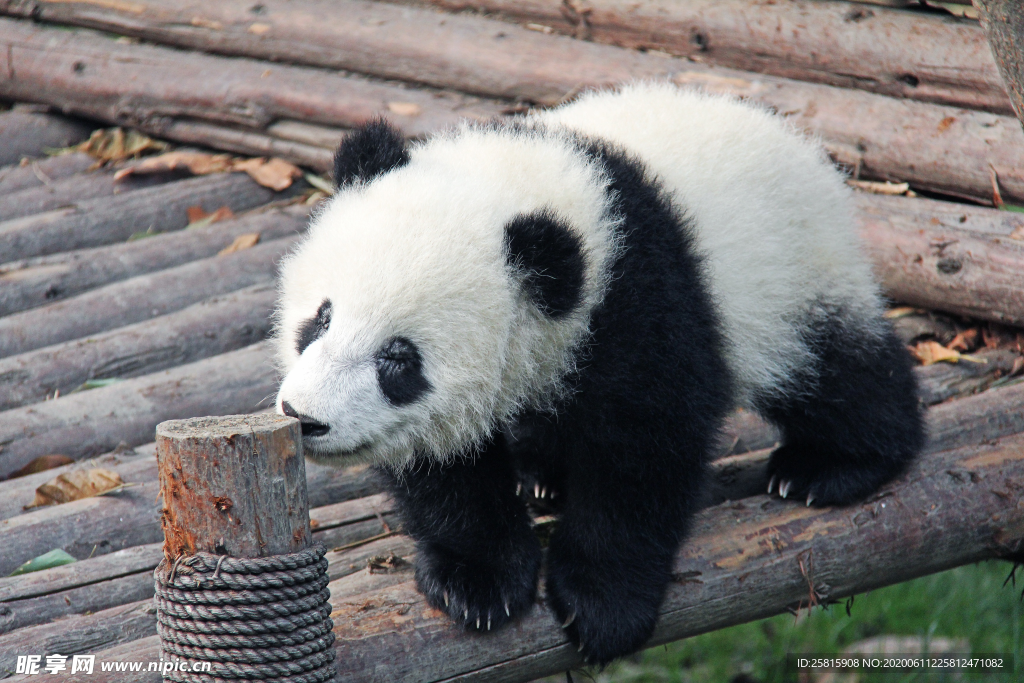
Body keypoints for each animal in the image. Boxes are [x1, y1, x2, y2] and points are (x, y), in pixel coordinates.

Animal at [276, 82, 925, 663]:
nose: (304, 417)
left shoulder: (639, 300)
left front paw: (601, 605)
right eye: (322, 317)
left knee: (832, 370)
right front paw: (478, 580)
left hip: (792, 273)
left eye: (399, 359)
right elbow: (445, 467)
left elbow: (643, 451)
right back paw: (543, 473)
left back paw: (829, 466)